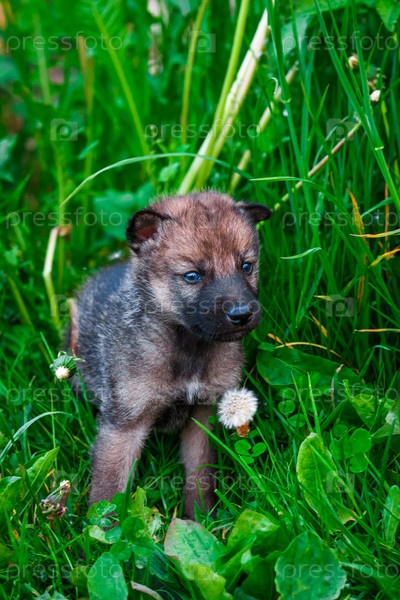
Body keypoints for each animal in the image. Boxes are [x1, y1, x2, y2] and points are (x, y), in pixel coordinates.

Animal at [72, 191, 271, 518]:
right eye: (192, 275)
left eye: (246, 266)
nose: (242, 314)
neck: (189, 350)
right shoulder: (124, 425)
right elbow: (108, 491)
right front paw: (101, 531)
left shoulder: (202, 415)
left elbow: (200, 477)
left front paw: (200, 521)